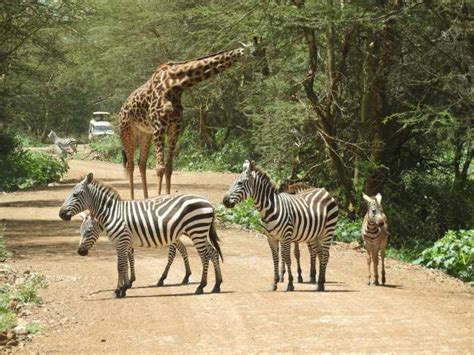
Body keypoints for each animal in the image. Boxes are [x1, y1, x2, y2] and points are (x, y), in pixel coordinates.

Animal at [58, 174, 222, 298]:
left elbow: (120, 265)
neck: (112, 214)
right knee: (213, 253)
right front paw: (125, 287)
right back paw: (216, 285)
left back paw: (201, 287)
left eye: (75, 194)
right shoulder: (125, 242)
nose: (61, 214)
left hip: (196, 231)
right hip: (199, 232)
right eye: (80, 232)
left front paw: (118, 290)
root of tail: (208, 202)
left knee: (204, 256)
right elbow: (126, 263)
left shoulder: (122, 240)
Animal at [120, 41, 258, 200]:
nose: (264, 64)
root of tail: (122, 109)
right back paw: (132, 199)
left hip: (145, 134)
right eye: (254, 52)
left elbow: (169, 167)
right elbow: (160, 168)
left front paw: (167, 197)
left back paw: (146, 198)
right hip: (127, 132)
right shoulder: (159, 127)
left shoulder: (175, 127)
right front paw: (161, 197)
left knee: (141, 163)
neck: (175, 85)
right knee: (130, 164)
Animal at [222, 161, 336, 292]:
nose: (225, 201)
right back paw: (320, 281)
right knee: (320, 253)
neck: (271, 208)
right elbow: (276, 258)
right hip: (315, 235)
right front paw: (275, 282)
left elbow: (287, 258)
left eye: (240, 183)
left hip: (328, 231)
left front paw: (290, 283)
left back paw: (321, 283)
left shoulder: (286, 236)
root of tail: (324, 191)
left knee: (325, 254)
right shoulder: (271, 238)